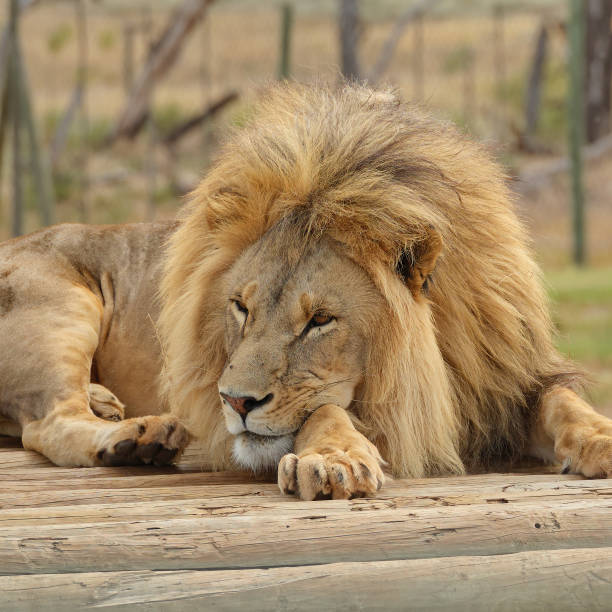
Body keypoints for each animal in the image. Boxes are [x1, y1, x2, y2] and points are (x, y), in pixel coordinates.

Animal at [1, 82, 612, 498]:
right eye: (240, 308)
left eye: (320, 320)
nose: (234, 401)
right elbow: (324, 410)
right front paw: (335, 458)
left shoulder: (506, 381)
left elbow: (564, 403)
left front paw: (603, 438)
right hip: (63, 303)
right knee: (48, 425)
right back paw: (141, 435)